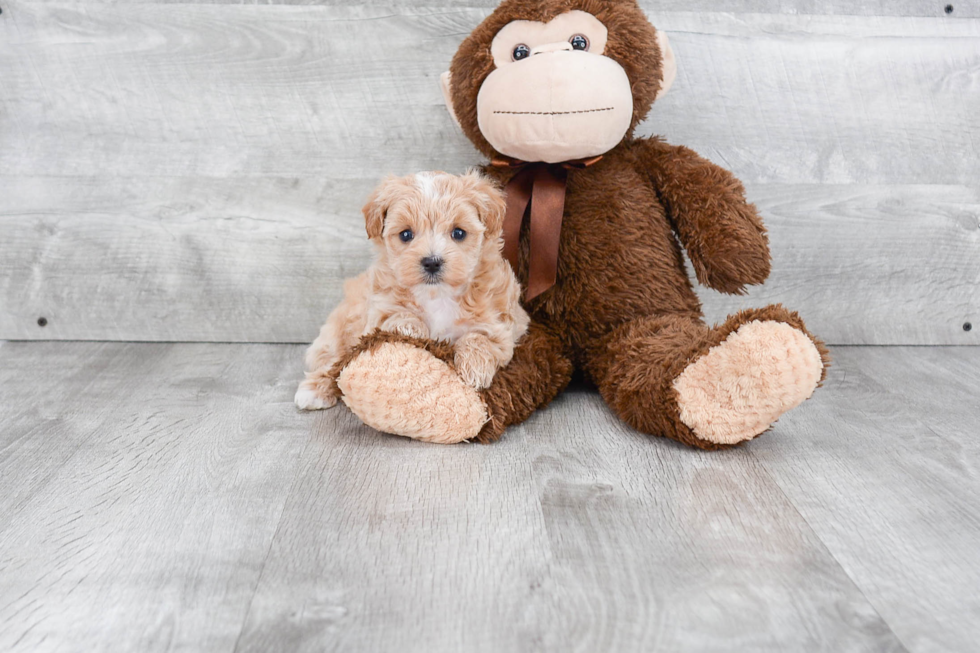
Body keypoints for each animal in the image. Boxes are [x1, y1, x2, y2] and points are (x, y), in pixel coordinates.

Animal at [294, 171, 528, 410]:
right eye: (406, 235)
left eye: (459, 233)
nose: (432, 262)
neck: (437, 295)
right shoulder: (377, 310)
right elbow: (397, 315)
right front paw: (411, 329)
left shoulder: (502, 327)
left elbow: (480, 338)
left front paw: (474, 368)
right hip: (339, 331)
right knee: (333, 362)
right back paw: (314, 390)